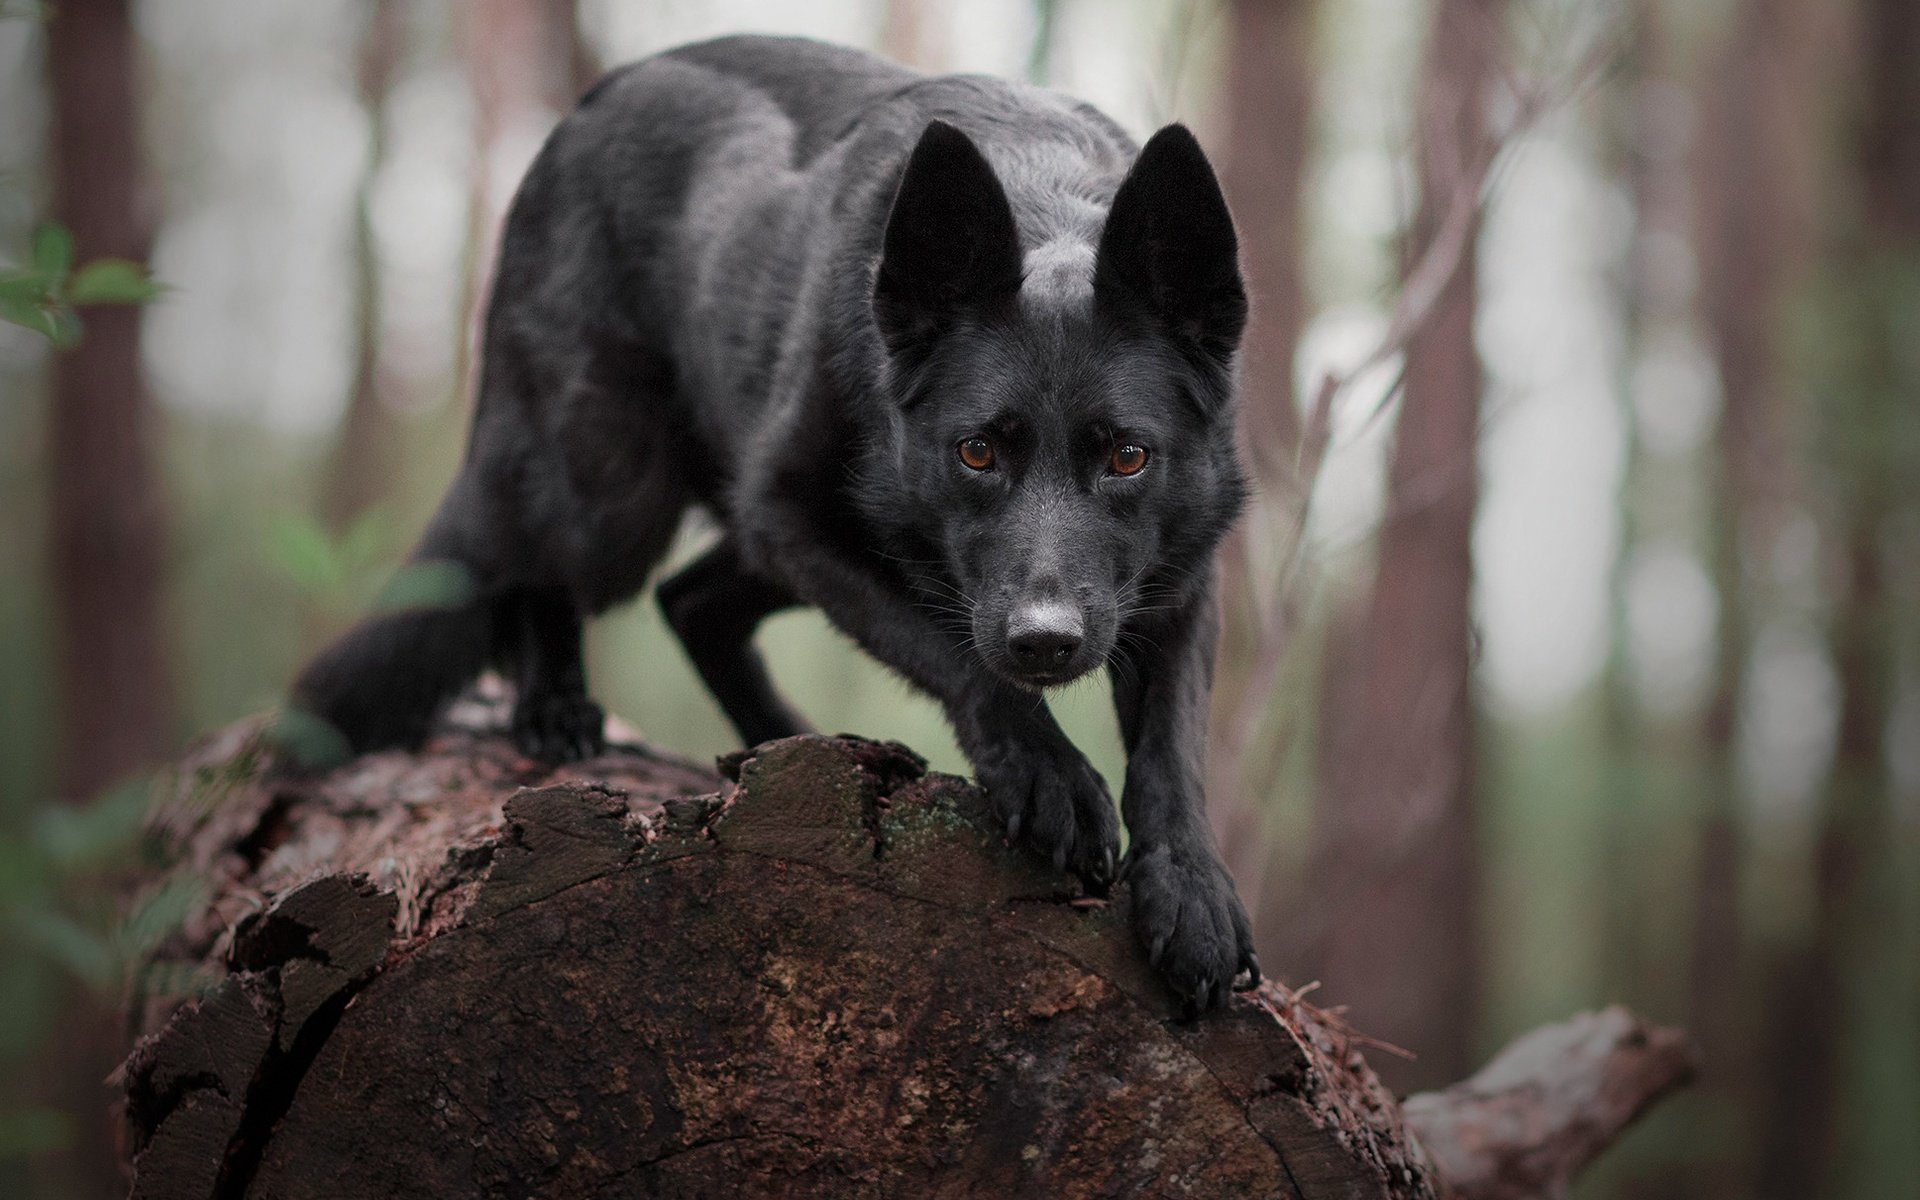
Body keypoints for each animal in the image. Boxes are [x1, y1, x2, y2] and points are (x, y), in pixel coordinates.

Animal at [295, 37, 1259, 1006]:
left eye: (1128, 457)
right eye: (977, 451)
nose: (1045, 643)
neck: (1043, 191)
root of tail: (587, 108)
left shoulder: (1175, 573)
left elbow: (1173, 742)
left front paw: (1192, 892)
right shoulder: (789, 516)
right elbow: (955, 656)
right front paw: (1049, 772)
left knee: (689, 600)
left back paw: (774, 737)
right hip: (612, 485)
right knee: (536, 568)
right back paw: (554, 706)